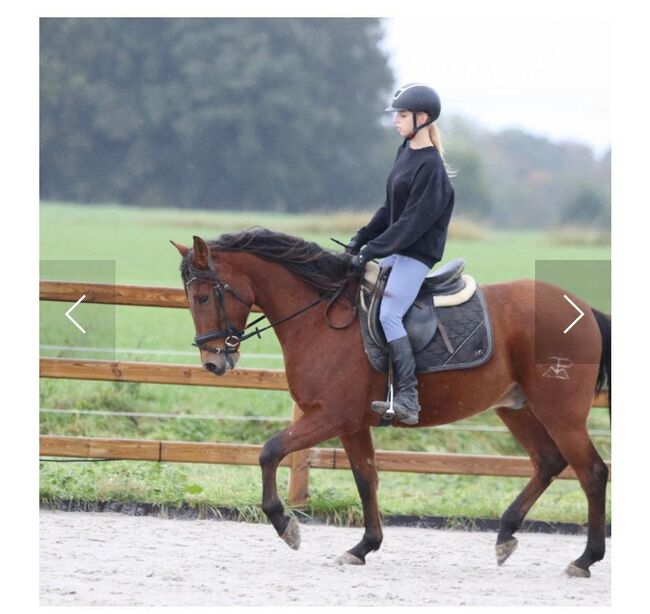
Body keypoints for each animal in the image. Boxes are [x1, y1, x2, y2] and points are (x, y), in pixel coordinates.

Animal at [171, 229, 608, 580]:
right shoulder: (351, 424)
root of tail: (582, 308)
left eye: (204, 296)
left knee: (592, 472)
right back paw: (506, 534)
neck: (319, 317)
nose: (212, 363)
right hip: (517, 407)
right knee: (549, 461)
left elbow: (269, 451)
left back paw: (585, 559)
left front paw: (286, 526)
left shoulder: (330, 417)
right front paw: (363, 547)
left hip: (561, 413)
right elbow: (366, 478)